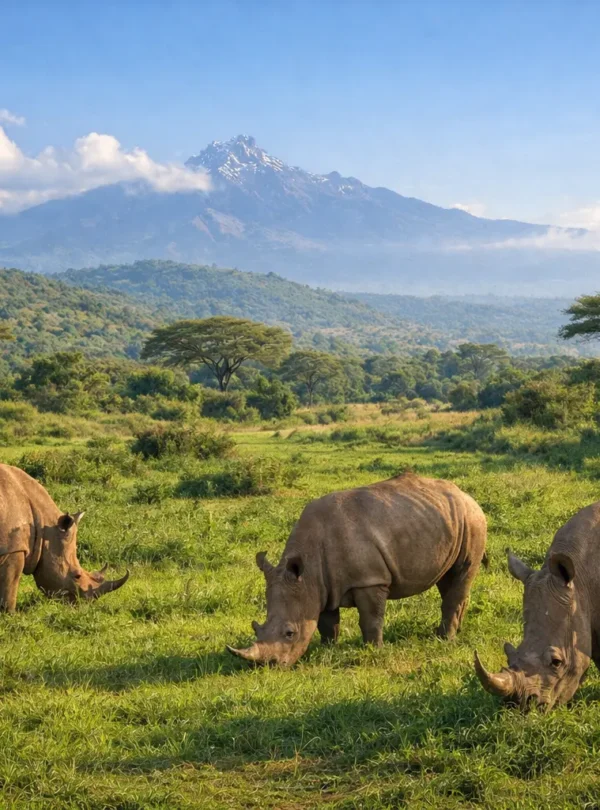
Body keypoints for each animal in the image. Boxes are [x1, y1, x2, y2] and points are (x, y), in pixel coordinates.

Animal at [0, 463, 129, 611]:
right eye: (76, 576)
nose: (86, 604)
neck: (44, 527)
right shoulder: (13, 548)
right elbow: (9, 587)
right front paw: (10, 614)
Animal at [227, 472, 487, 666]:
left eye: (289, 633)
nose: (267, 666)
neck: (308, 569)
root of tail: (467, 496)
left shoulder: (370, 580)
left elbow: (371, 619)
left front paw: (374, 650)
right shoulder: (321, 585)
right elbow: (326, 622)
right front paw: (328, 649)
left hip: (473, 521)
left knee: (461, 573)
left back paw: (444, 640)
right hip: (448, 522)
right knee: (448, 579)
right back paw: (454, 631)